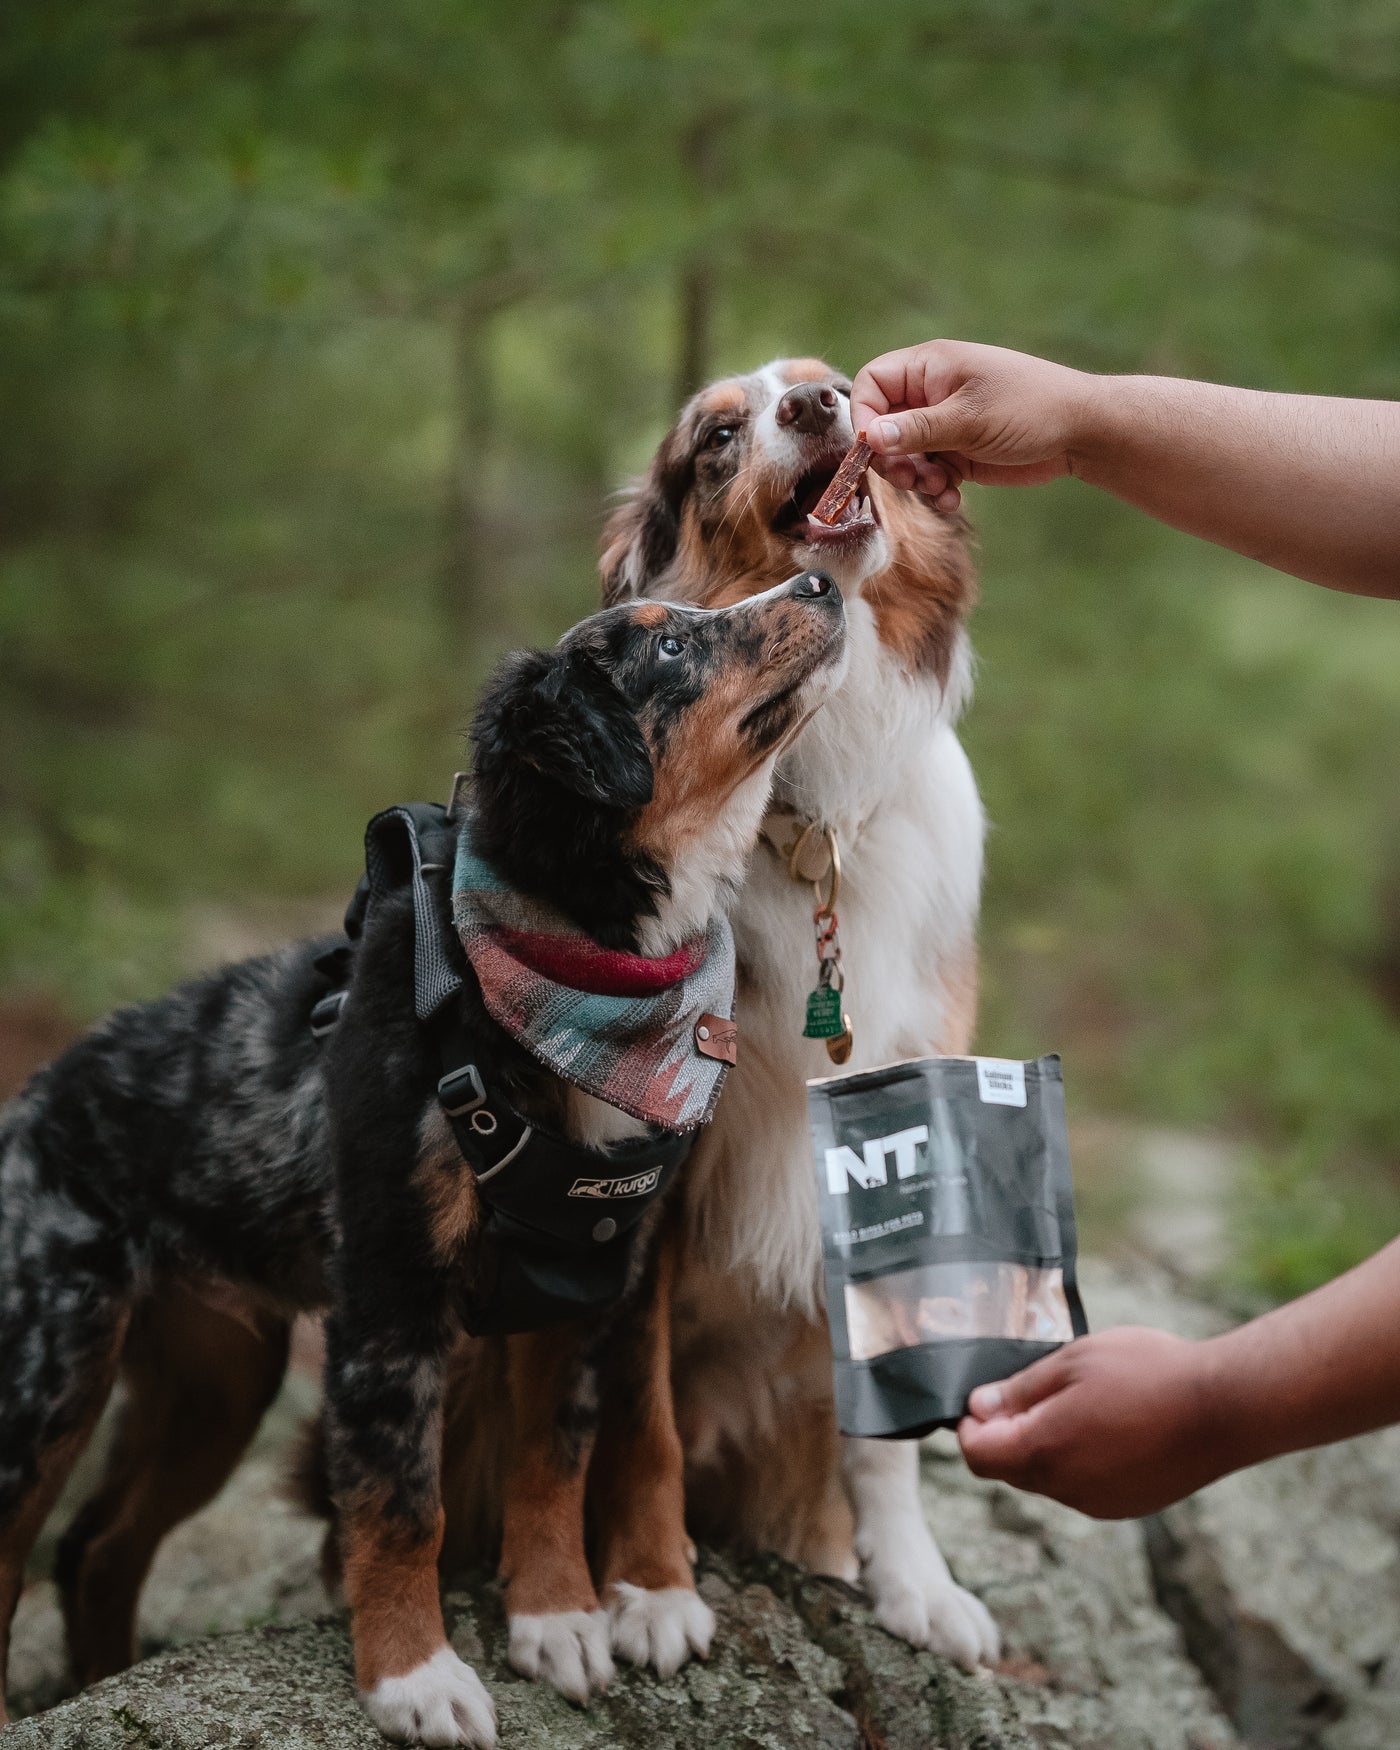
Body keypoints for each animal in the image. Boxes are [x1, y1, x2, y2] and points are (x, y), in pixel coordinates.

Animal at [0, 574, 843, 1736]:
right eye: (668, 645)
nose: (823, 580)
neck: (576, 972)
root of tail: (34, 1097)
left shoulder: (580, 1273)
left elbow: (553, 1458)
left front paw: (555, 1619)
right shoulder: (391, 1288)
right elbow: (402, 1499)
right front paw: (415, 1677)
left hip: (218, 1378)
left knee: (95, 1549)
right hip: (53, 1364)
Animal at [595, 358, 1001, 1666]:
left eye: (835, 382)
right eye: (718, 434)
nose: (820, 406)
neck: (813, 814)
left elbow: (884, 1439)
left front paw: (915, 1583)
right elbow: (639, 1411)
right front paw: (649, 1589)